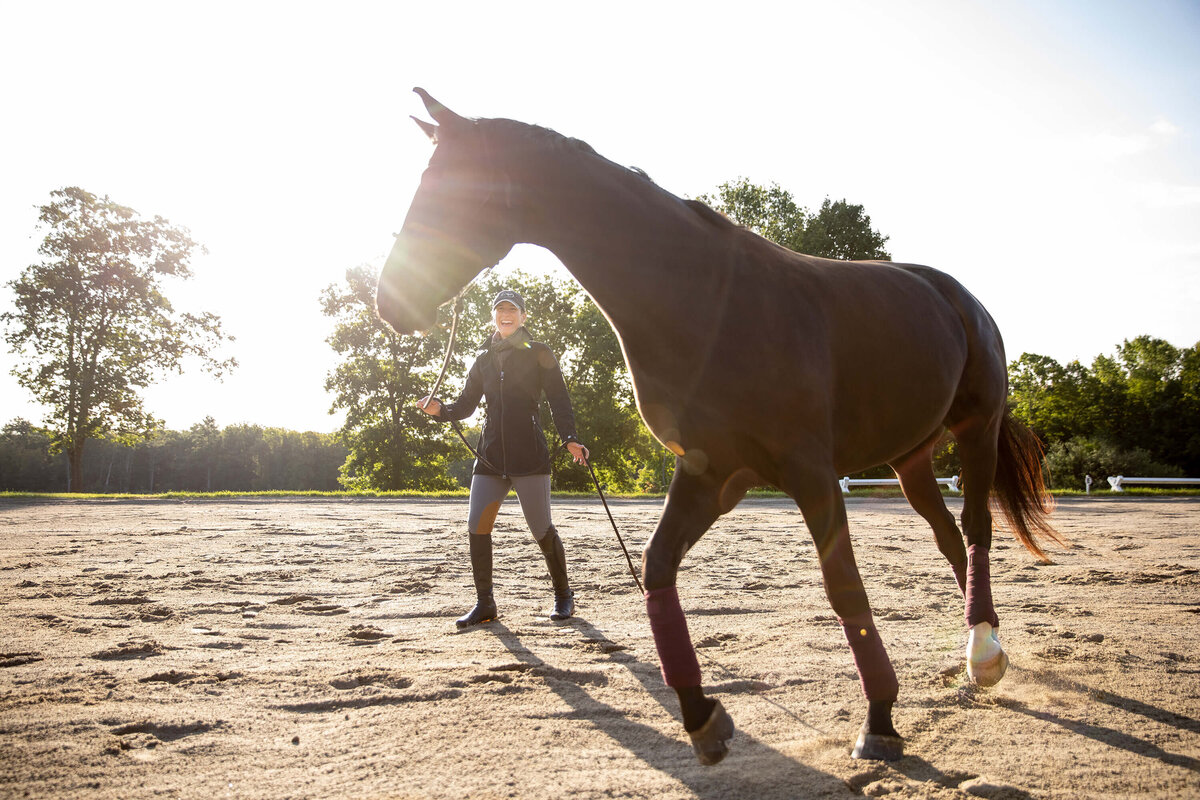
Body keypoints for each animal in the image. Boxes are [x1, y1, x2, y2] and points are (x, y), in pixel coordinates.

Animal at [376, 90, 1060, 767]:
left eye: (449, 188)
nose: (389, 301)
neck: (707, 303)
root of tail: (957, 297)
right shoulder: (711, 473)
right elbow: (656, 567)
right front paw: (701, 714)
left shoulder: (810, 472)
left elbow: (844, 587)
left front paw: (881, 719)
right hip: (911, 458)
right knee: (949, 536)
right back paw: (979, 650)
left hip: (976, 430)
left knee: (975, 528)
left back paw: (983, 652)